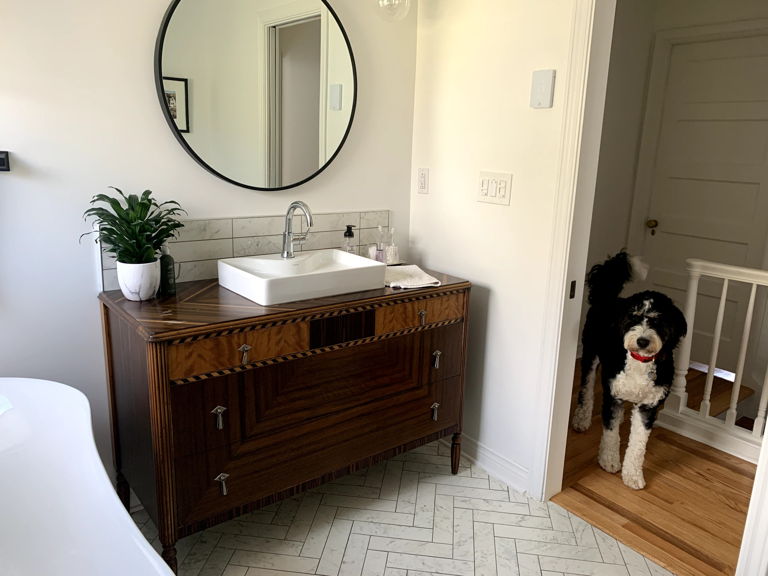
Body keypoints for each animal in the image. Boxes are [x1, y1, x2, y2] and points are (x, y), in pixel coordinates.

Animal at [572, 252, 688, 490]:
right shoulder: (613, 394)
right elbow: (610, 434)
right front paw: (608, 461)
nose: (643, 340)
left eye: (658, 320)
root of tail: (608, 298)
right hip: (590, 354)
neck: (639, 361)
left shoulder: (649, 406)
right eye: (633, 317)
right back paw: (582, 419)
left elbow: (638, 444)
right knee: (586, 390)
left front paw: (633, 475)